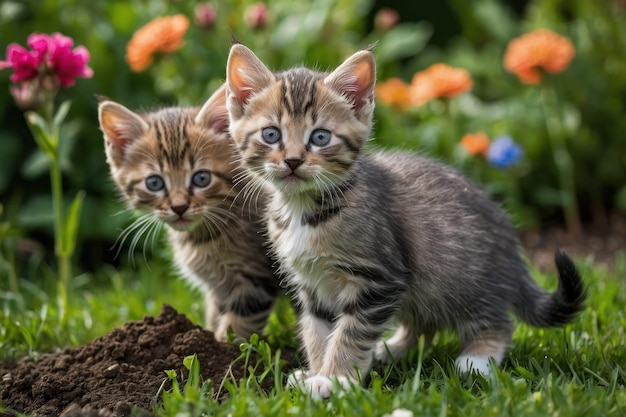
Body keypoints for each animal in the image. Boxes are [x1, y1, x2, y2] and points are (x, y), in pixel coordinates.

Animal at [97, 85, 276, 342]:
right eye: (154, 183)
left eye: (201, 178)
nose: (179, 207)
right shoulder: (219, 289)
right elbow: (215, 317)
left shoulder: (255, 280)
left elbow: (237, 327)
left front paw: (222, 347)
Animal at [224, 44, 584, 396]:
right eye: (271, 135)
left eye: (320, 137)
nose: (293, 161)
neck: (304, 210)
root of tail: (511, 247)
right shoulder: (313, 286)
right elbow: (317, 332)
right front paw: (317, 372)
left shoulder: (378, 279)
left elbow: (350, 332)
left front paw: (336, 380)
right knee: (425, 323)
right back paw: (392, 349)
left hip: (465, 279)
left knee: (496, 320)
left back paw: (477, 359)